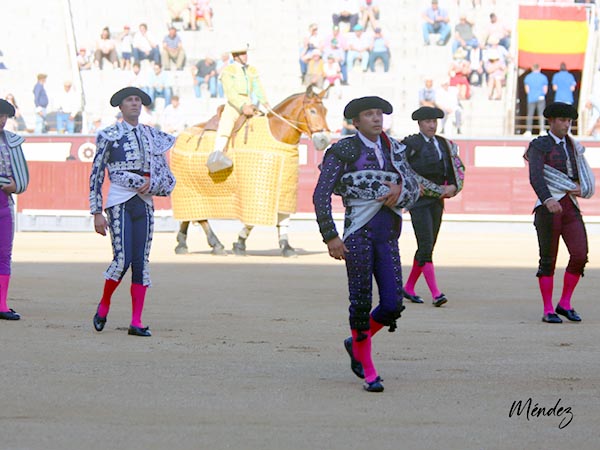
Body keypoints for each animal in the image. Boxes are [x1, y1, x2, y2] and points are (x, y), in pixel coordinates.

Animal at [171, 84, 330, 256]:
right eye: (312, 111)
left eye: (325, 111)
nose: (324, 140)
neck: (276, 134)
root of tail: (178, 138)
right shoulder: (257, 190)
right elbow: (253, 221)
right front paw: (240, 244)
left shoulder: (286, 188)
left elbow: (283, 217)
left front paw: (286, 246)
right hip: (189, 186)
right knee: (200, 217)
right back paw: (216, 245)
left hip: (191, 188)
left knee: (190, 213)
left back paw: (181, 244)